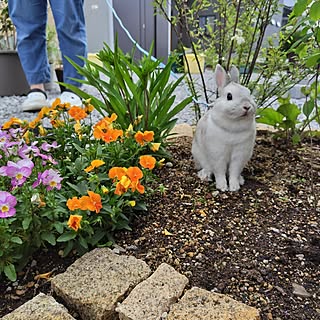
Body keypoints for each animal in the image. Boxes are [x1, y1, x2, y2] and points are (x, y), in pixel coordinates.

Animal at [191, 63, 256, 191]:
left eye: (249, 92)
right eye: (229, 96)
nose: (247, 106)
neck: (234, 125)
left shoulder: (239, 155)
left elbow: (234, 171)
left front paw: (234, 187)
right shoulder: (218, 154)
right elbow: (219, 171)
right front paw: (222, 187)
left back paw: (240, 180)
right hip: (199, 156)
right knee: (208, 168)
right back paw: (204, 175)